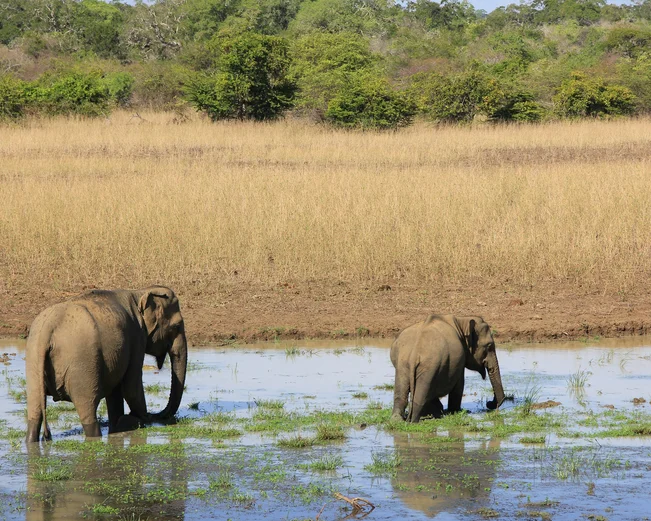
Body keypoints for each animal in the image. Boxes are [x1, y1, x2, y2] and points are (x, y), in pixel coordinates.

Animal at [25, 286, 187, 442]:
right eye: (176, 326)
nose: (158, 415)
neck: (139, 292)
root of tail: (48, 330)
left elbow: (115, 393)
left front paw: (119, 426)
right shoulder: (137, 337)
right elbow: (131, 388)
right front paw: (139, 419)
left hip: (34, 361)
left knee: (35, 411)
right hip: (81, 366)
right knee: (88, 411)